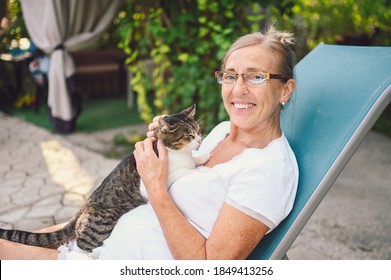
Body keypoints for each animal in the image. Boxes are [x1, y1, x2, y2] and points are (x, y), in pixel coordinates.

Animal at [0, 104, 208, 252]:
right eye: (189, 136)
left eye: (198, 131)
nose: (200, 140)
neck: (178, 153)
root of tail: (82, 208)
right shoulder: (159, 179)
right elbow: (185, 171)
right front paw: (200, 170)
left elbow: (193, 162)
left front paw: (203, 158)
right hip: (101, 224)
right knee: (82, 243)